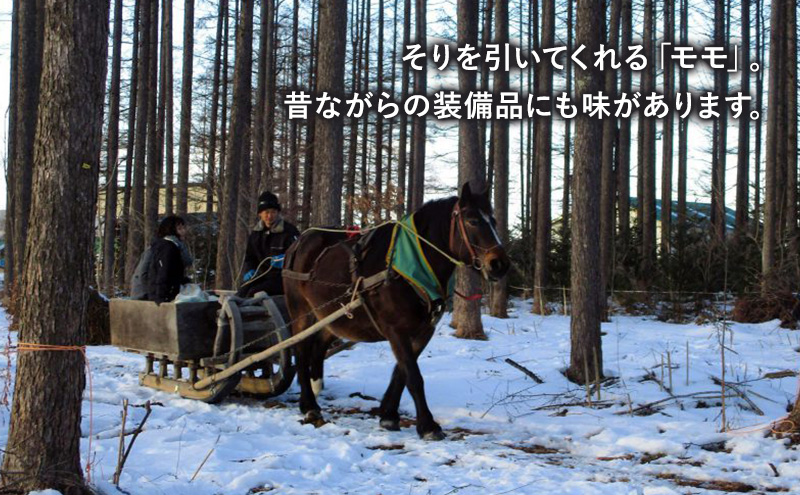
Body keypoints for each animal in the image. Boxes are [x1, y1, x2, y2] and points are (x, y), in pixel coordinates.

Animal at [282, 182, 510, 440]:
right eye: (472, 220)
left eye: (493, 220)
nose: (499, 264)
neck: (411, 267)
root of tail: (299, 241)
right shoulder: (395, 329)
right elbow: (413, 375)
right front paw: (428, 425)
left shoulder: (423, 331)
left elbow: (401, 372)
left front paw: (388, 414)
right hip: (301, 312)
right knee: (301, 351)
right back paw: (309, 406)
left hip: (335, 317)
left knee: (319, 345)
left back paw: (315, 388)